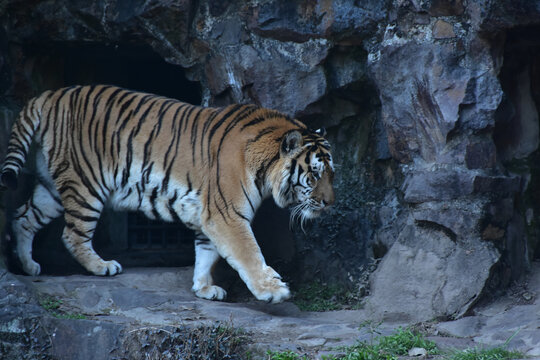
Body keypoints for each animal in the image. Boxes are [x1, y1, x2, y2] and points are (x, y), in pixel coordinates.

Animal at [1, 85, 334, 304]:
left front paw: (203, 288)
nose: (330, 203)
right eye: (315, 174)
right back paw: (102, 266)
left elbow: (206, 254)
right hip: (85, 184)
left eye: (332, 173)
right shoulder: (227, 215)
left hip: (52, 189)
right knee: (71, 235)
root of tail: (47, 96)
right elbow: (248, 253)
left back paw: (28, 266)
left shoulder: (207, 215)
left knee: (22, 217)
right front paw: (273, 290)